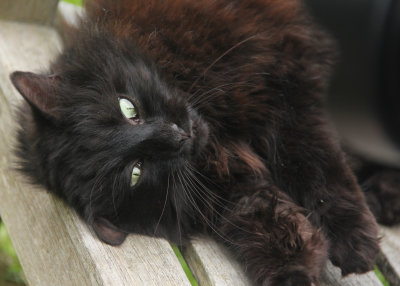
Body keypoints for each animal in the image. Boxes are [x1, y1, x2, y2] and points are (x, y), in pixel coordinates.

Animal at [8, 1, 378, 284]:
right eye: (136, 172)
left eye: (128, 109)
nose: (178, 135)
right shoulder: (230, 188)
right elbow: (266, 220)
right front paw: (295, 272)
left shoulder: (290, 89)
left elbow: (315, 163)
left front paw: (354, 239)